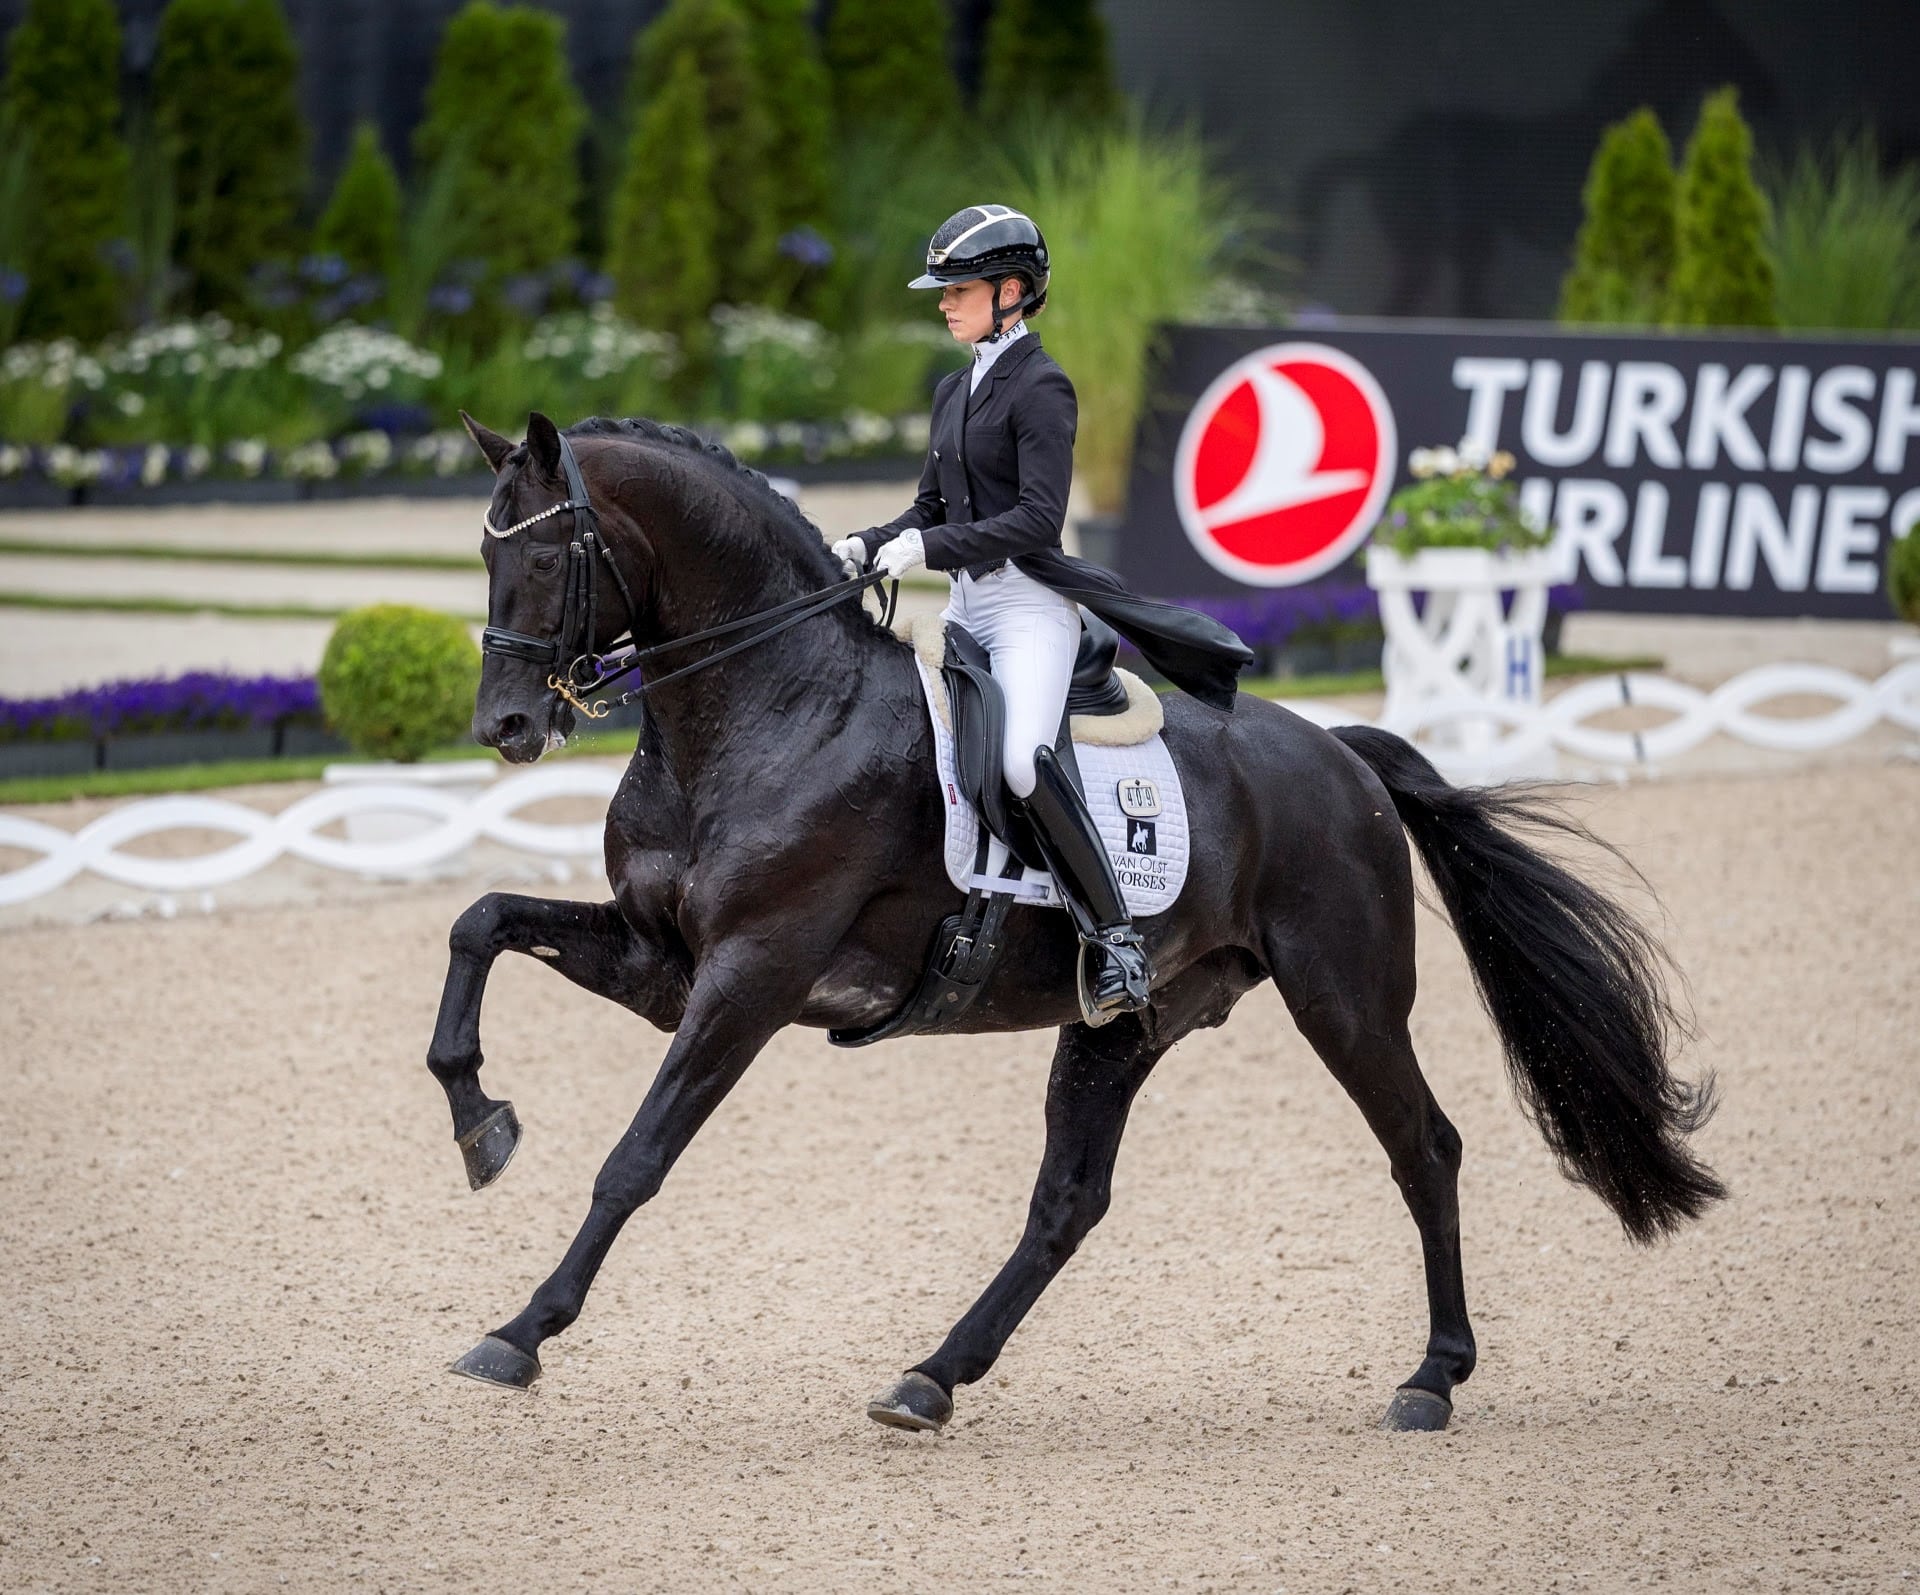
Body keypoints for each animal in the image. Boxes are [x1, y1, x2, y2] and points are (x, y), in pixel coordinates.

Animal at [432, 410, 1728, 1435]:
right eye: (484, 552)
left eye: (546, 550)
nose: (507, 726)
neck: (771, 706)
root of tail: (1342, 753)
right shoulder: (661, 960)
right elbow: (480, 921)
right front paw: (480, 1120)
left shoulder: (749, 975)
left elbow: (635, 1157)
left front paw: (519, 1331)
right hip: (1126, 1024)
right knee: (1068, 1203)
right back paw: (929, 1378)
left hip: (1345, 997)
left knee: (1426, 1148)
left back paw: (1431, 1380)